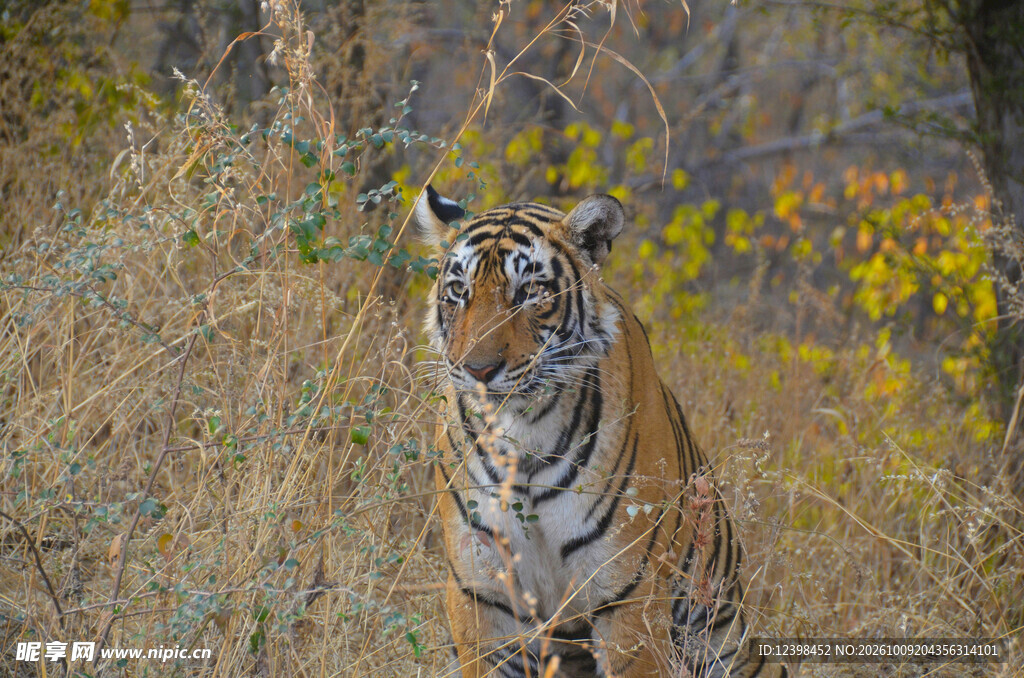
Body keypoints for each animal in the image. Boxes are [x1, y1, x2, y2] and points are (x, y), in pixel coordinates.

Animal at [415, 186, 787, 678]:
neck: (523, 432)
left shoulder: (625, 591)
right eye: (459, 292)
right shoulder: (480, 589)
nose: (477, 370)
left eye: (528, 292)